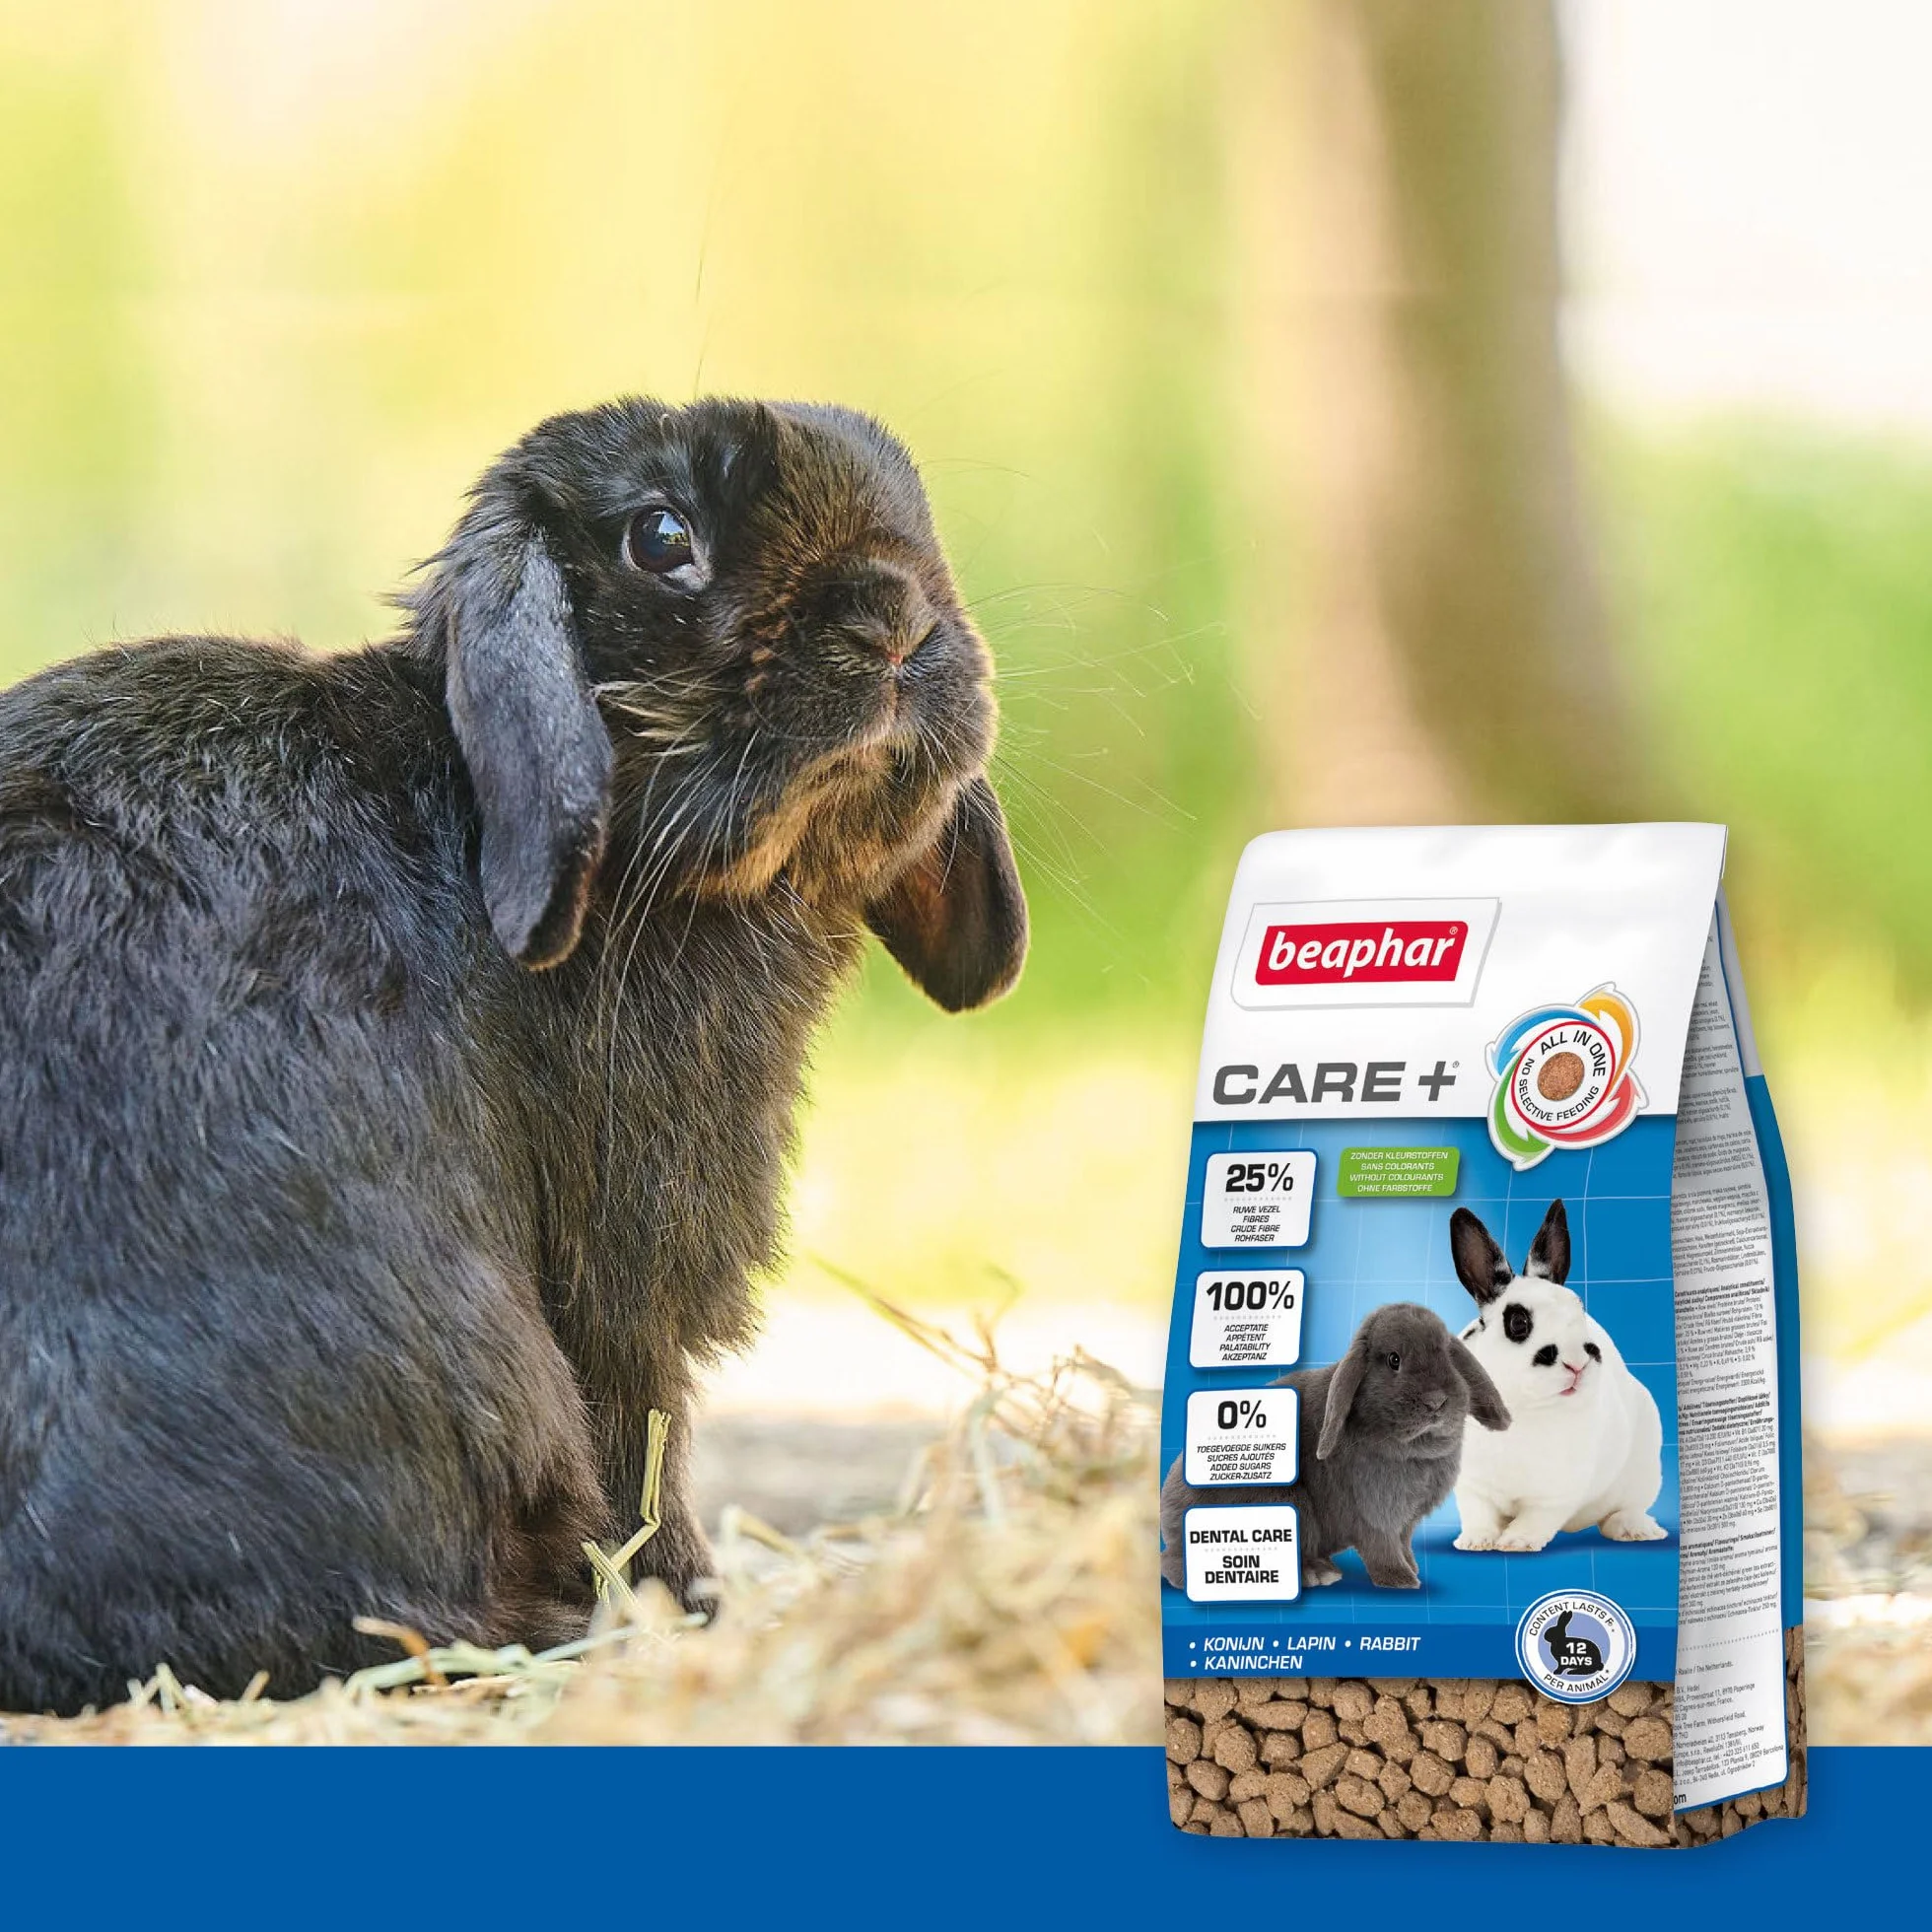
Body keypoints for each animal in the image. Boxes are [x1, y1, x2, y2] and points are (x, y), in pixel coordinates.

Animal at [1160, 1303, 1509, 1593]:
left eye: (1447, 1355)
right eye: (1393, 1359)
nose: (1436, 1402)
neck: (1413, 1451)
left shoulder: (1405, 1522)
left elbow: (1403, 1543)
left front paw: (1413, 1568)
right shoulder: (1373, 1515)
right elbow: (1381, 1548)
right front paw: (1402, 1581)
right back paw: (1316, 1574)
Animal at [1449, 1200, 1667, 1552]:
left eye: (1579, 1312)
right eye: (1518, 1323)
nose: (1577, 1364)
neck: (1522, 1409)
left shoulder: (1556, 1493)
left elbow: (1537, 1518)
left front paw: (1516, 1542)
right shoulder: (1470, 1484)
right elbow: (1478, 1512)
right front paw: (1476, 1541)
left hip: (1644, 1471)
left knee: (1626, 1509)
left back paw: (1636, 1530)